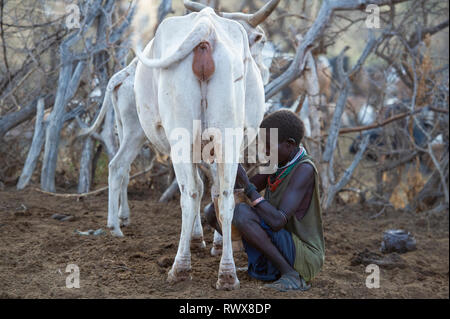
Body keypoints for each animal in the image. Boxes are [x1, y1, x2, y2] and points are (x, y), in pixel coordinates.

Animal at [133, 2, 278, 292]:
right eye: (262, 41)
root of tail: (206, 28)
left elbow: (201, 188)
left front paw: (199, 240)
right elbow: (213, 190)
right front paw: (214, 243)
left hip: (182, 136)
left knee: (190, 194)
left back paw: (180, 268)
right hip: (227, 136)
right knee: (226, 196)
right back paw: (227, 274)